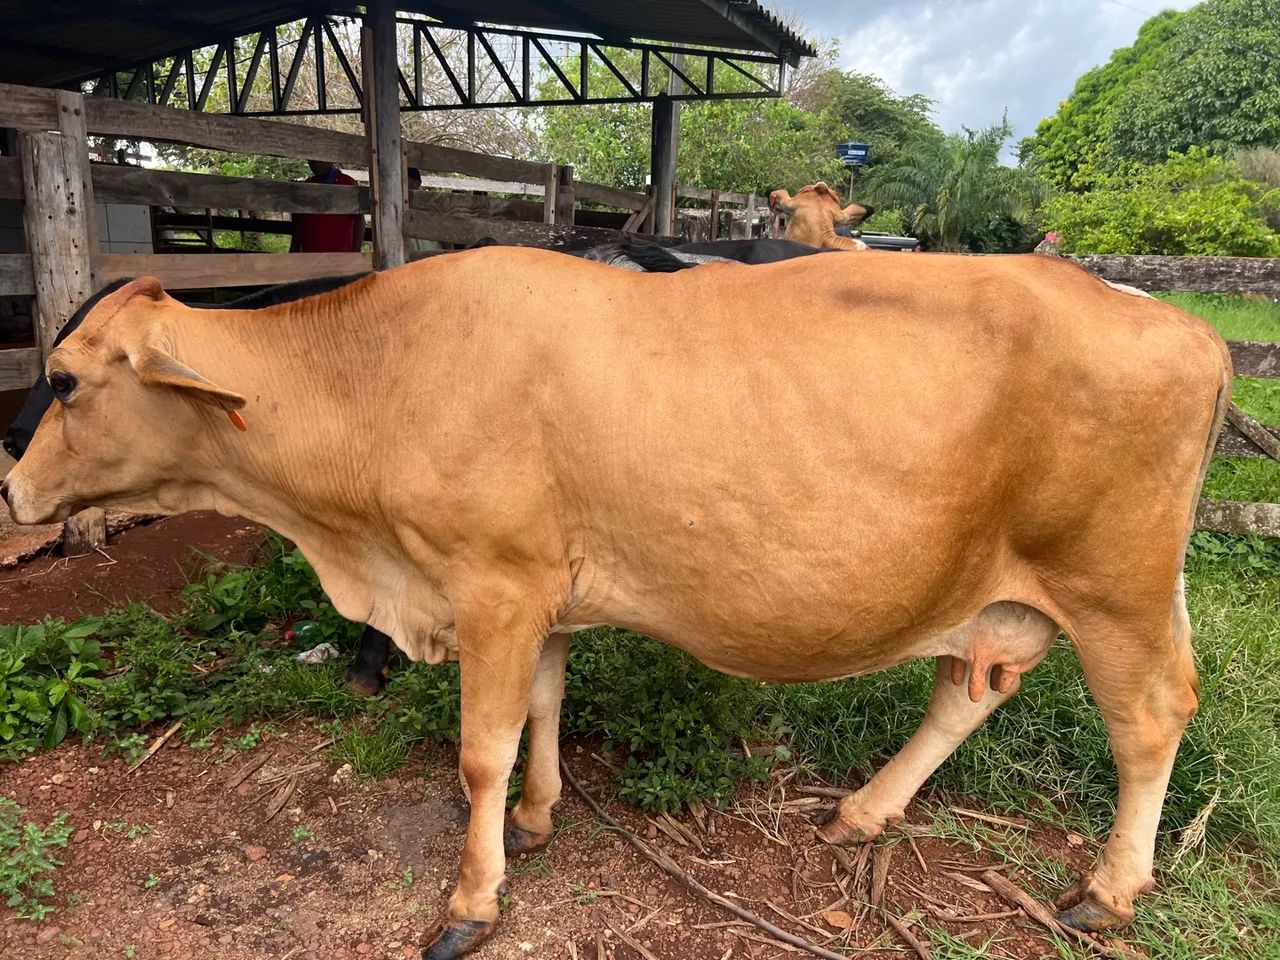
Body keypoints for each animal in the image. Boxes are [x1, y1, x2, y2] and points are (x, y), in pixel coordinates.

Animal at [3, 248, 1230, 959]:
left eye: (61, 380)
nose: (10, 489)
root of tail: (1176, 319)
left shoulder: (492, 584)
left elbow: (480, 751)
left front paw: (471, 902)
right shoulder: (538, 588)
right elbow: (545, 707)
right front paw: (540, 818)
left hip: (1114, 583)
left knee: (1150, 716)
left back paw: (1106, 890)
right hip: (1016, 589)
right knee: (970, 691)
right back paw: (860, 812)